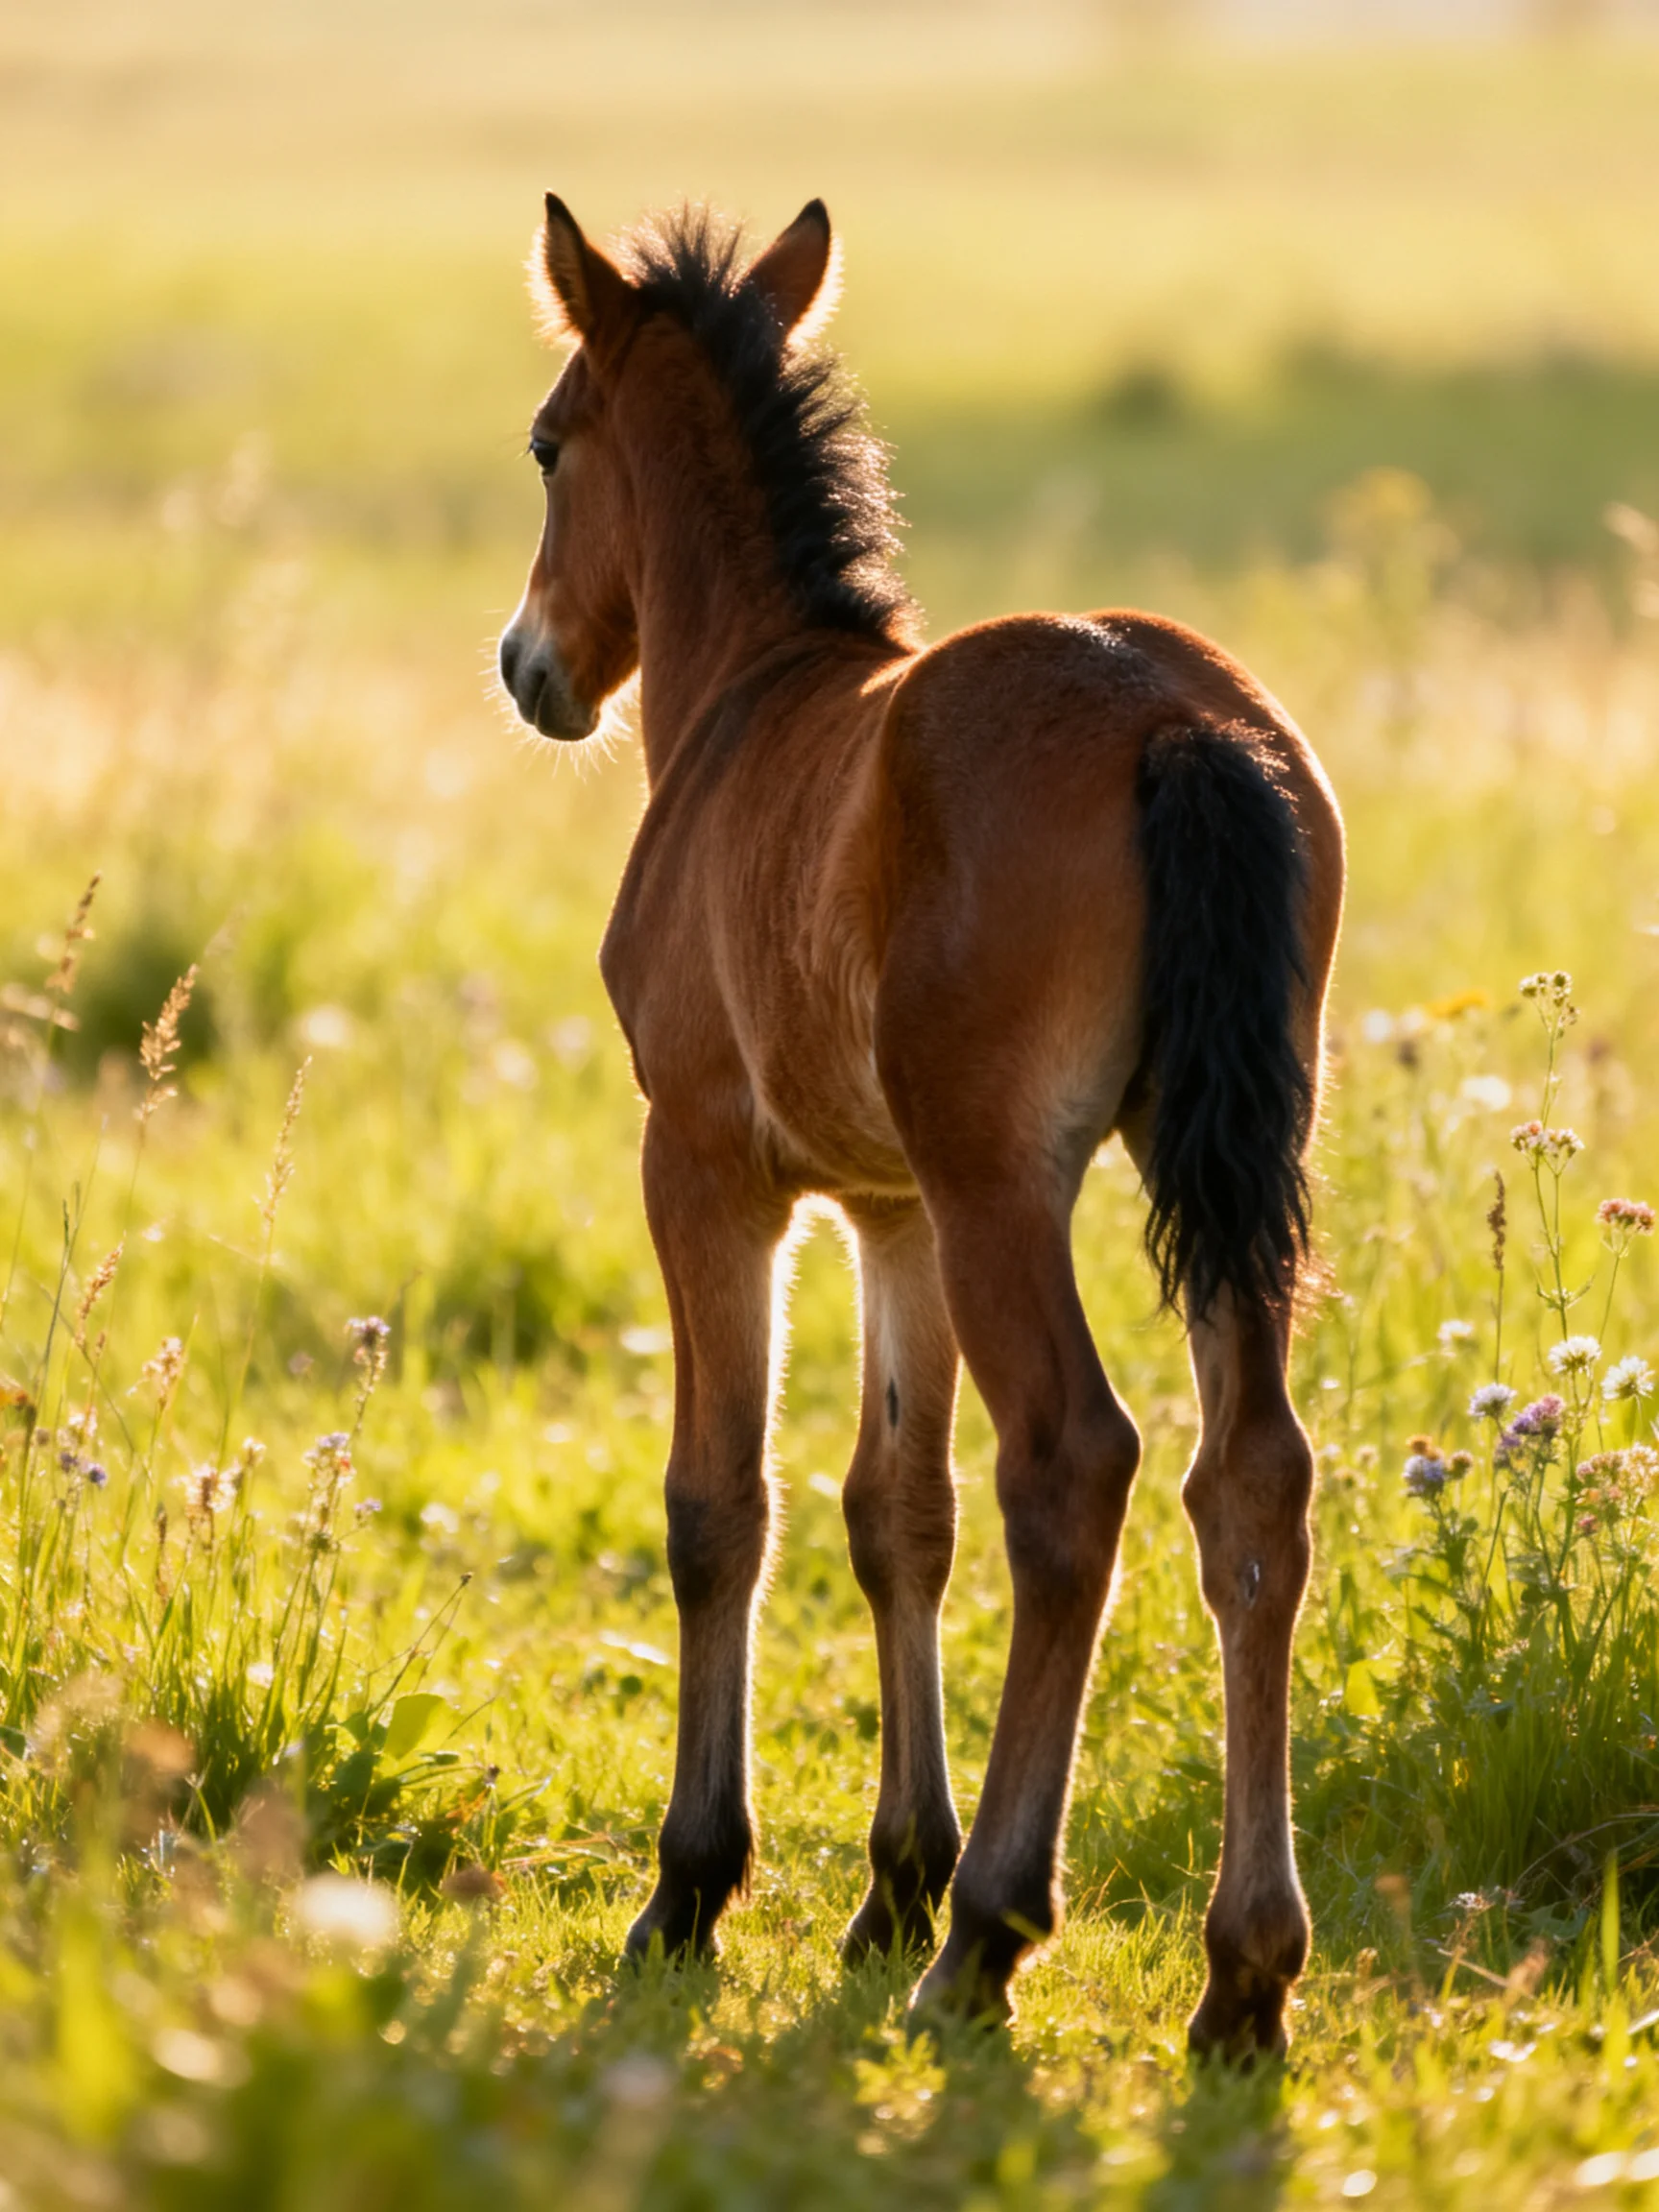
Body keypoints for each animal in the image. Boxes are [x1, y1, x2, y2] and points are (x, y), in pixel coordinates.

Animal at [498, 193, 1344, 2060]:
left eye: (546, 444)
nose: (529, 670)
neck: (753, 699)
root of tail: (1176, 718)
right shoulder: (885, 1212)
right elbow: (897, 1510)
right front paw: (887, 1880)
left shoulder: (710, 1168)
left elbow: (719, 1501)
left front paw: (694, 1887)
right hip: (1201, 1158)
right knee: (1249, 1474)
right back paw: (1239, 1973)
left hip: (1000, 1184)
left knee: (1076, 1464)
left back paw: (995, 1934)